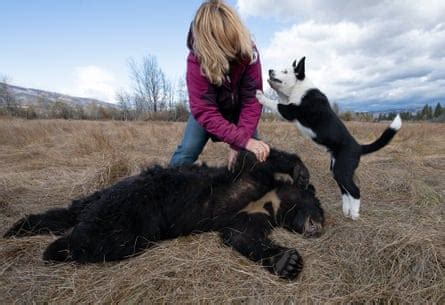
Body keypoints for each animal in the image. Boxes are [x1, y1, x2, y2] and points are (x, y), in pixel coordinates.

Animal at [3, 148, 322, 280]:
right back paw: (53, 250)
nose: (320, 226)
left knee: (65, 212)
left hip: (96, 203)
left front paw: (287, 262)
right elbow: (258, 159)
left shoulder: (249, 216)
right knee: (102, 240)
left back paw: (17, 227)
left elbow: (243, 236)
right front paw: (300, 171)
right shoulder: (249, 179)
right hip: (131, 214)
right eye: (320, 207)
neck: (269, 202)